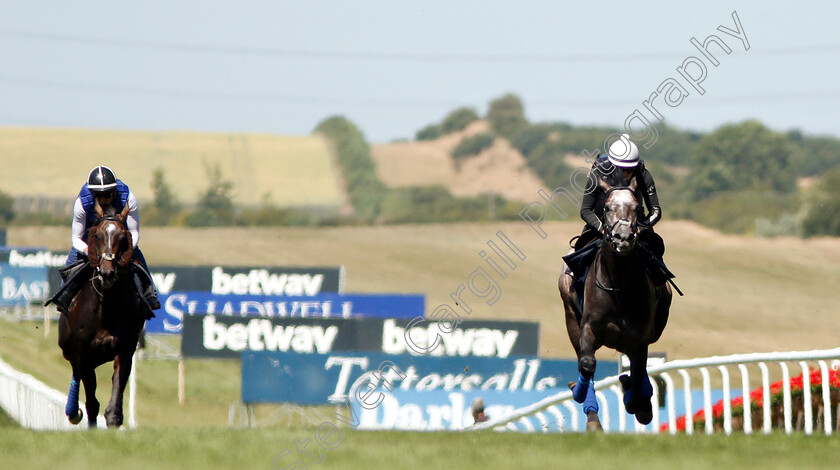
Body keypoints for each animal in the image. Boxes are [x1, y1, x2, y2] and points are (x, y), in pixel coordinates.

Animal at [58, 200, 145, 428]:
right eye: (96, 235)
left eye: (123, 236)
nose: (107, 273)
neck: (107, 310)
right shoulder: (84, 353)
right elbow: (92, 403)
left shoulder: (124, 350)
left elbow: (114, 403)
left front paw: (113, 419)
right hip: (68, 348)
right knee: (75, 371)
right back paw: (72, 411)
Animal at [560, 173, 672, 430]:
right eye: (608, 208)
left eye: (635, 208)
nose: (623, 238)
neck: (619, 285)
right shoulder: (589, 327)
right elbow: (587, 364)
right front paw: (581, 397)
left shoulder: (639, 339)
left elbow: (638, 377)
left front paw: (639, 402)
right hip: (570, 317)